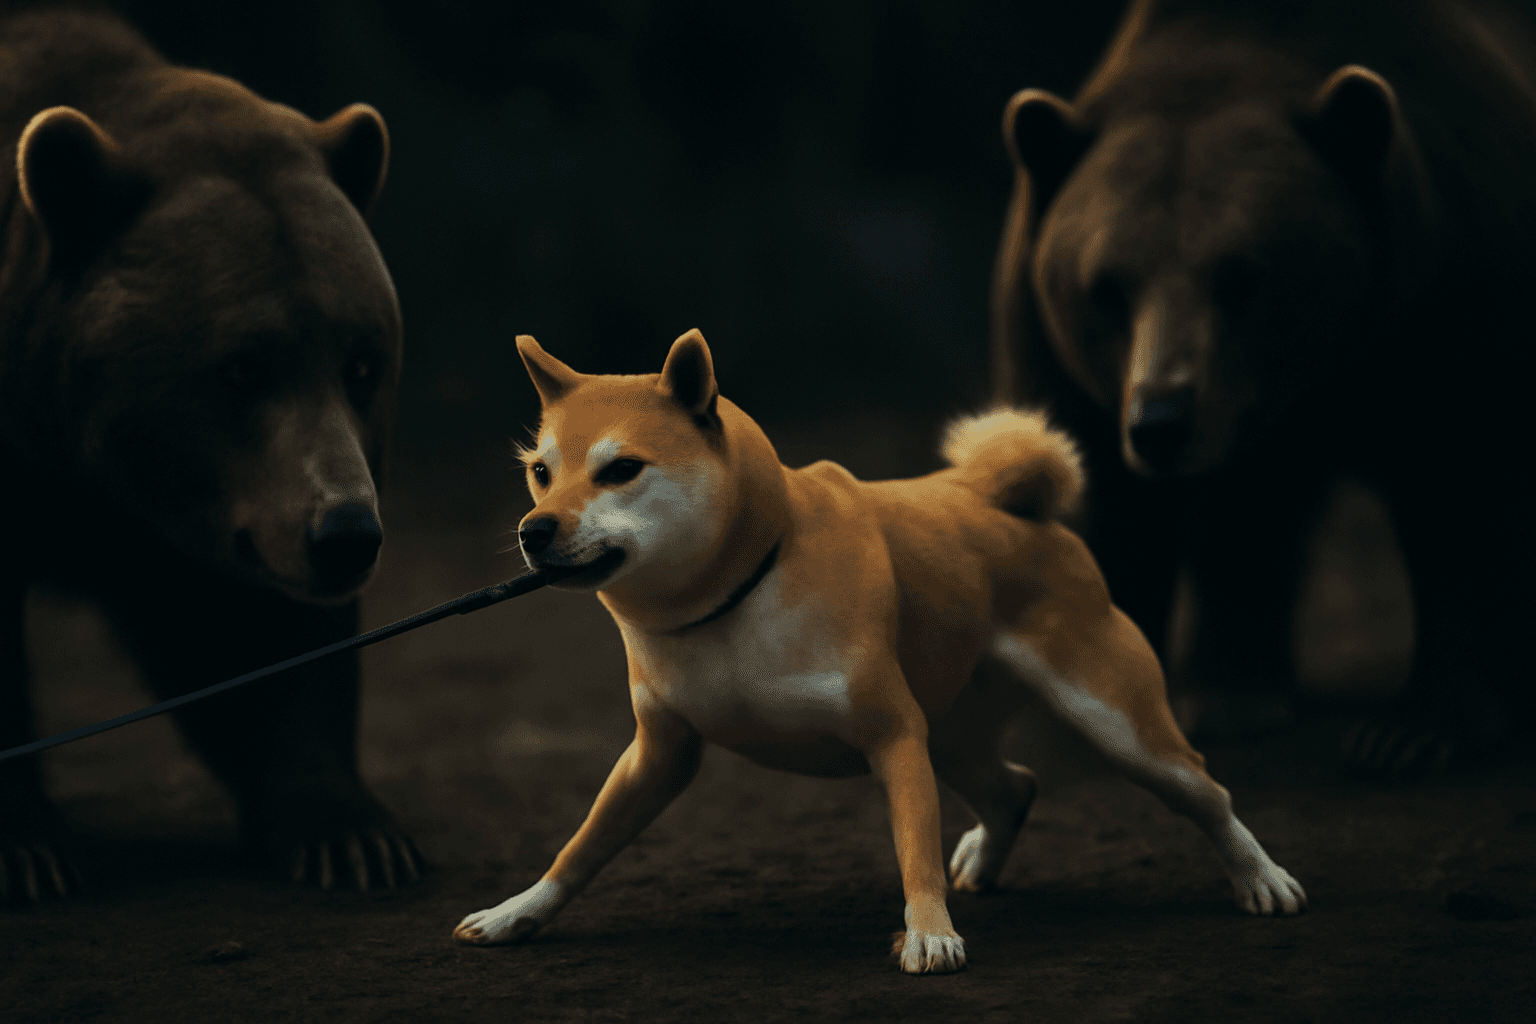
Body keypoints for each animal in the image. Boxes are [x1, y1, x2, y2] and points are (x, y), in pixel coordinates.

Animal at [0, 6, 415, 902]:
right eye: (242, 368)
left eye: (362, 362)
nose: (346, 536)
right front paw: (32, 854)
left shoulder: (194, 519)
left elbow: (244, 630)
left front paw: (351, 836)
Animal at [989, 0, 1536, 777]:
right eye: (1107, 287)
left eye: (1242, 276)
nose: (1161, 422)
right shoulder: (1055, 350)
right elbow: (1106, 506)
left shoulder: (1451, 301)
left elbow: (1461, 493)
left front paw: (1411, 732)